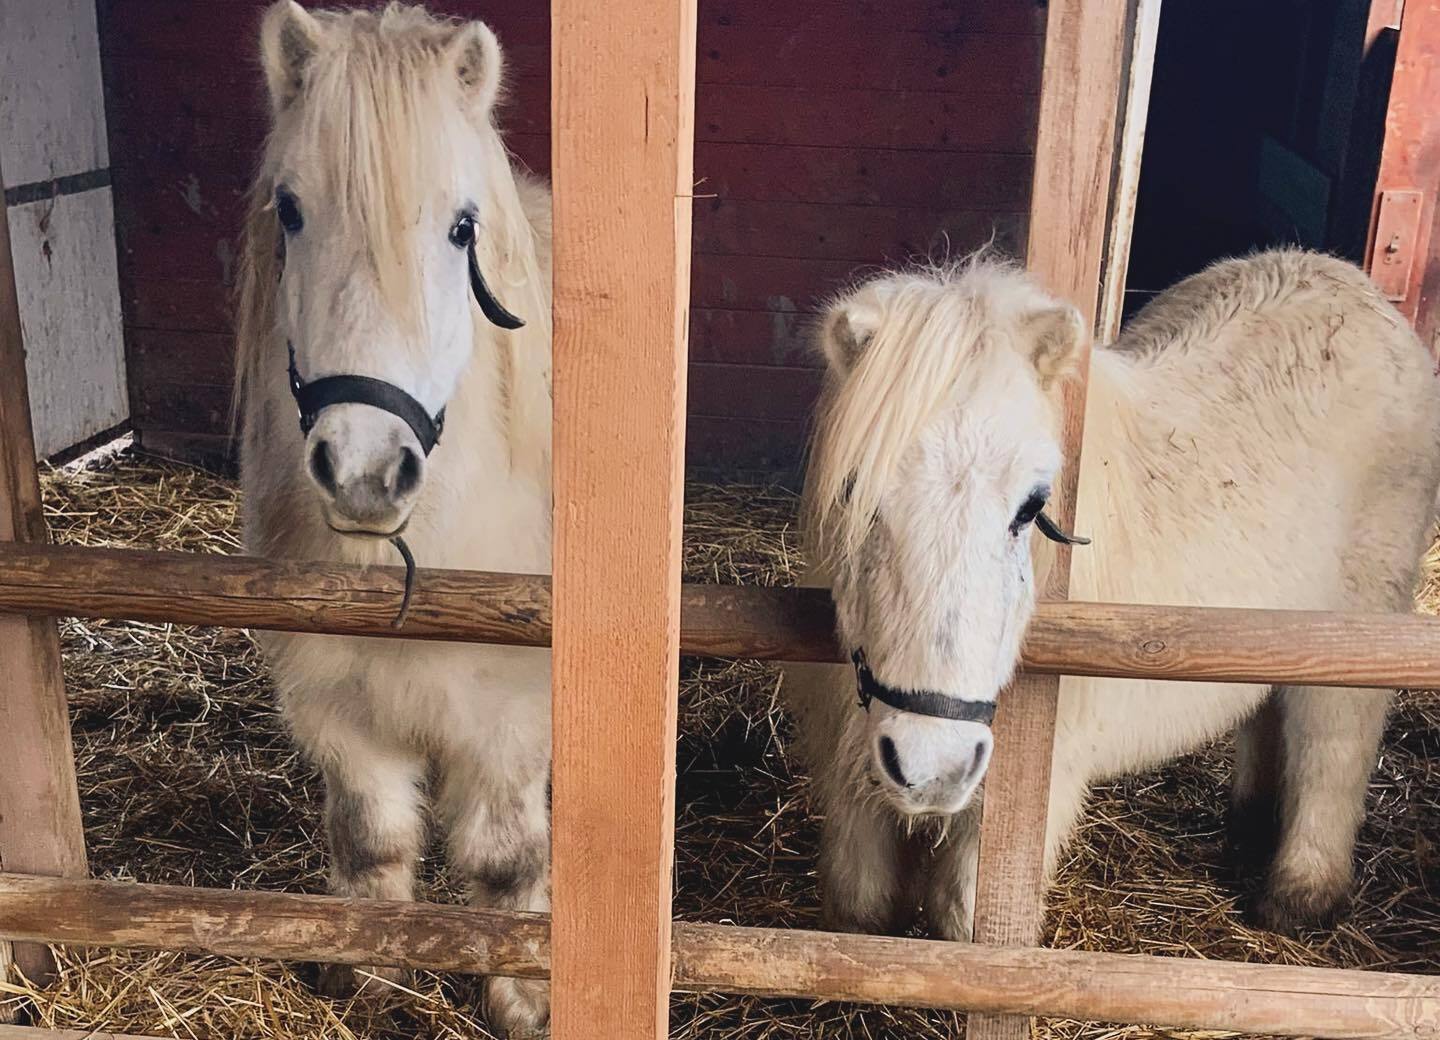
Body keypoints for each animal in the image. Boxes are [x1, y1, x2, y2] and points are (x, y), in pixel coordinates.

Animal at [236, 6, 550, 1031]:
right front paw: (369, 979)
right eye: (292, 211)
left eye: (462, 228)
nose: (367, 472)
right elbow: (373, 842)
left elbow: (506, 862)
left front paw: (525, 998)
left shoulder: (510, 719)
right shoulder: (336, 707)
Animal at [789, 249, 1440, 939]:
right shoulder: (853, 788)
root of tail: (1354, 285)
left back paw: (1300, 896)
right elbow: (858, 919)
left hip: (1361, 625)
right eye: (855, 494)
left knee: (1333, 745)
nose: (933, 766)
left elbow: (968, 932)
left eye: (1032, 507)